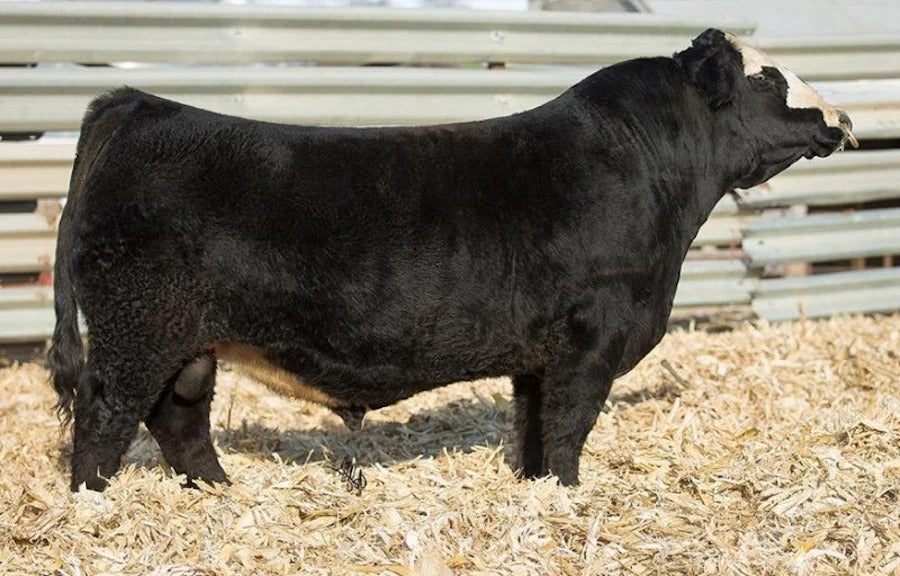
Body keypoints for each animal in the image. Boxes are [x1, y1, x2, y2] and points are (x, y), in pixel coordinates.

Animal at [48, 29, 856, 492]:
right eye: (765, 80)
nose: (843, 118)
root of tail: (138, 104)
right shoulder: (591, 340)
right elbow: (569, 426)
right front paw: (570, 495)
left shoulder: (540, 354)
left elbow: (533, 428)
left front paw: (535, 491)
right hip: (136, 330)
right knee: (104, 412)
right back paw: (92, 503)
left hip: (188, 341)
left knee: (179, 417)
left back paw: (218, 491)